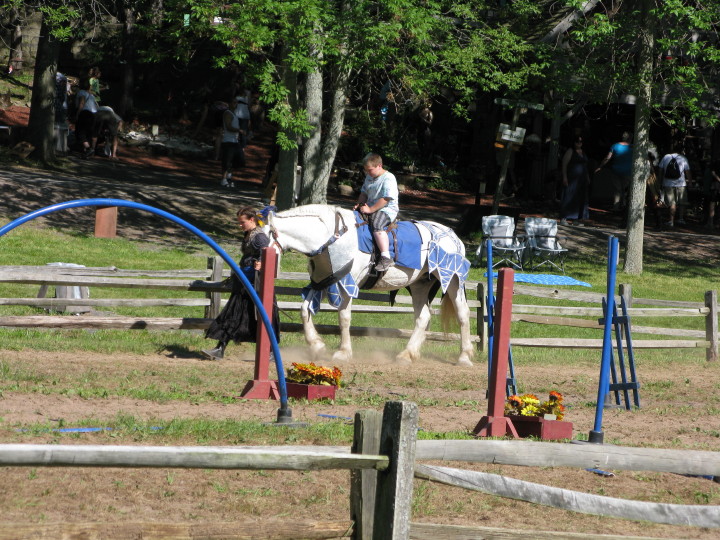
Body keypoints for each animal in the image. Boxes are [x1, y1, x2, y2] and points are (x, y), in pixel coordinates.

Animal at [264, 205, 472, 364]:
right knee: (423, 317)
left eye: (262, 238)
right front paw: (316, 345)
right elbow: (304, 309)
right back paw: (407, 354)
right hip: (419, 284)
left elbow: (344, 317)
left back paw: (464, 356)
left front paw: (343, 352)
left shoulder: (347, 285)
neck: (331, 238)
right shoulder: (325, 283)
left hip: (452, 280)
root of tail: (454, 237)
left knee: (462, 313)